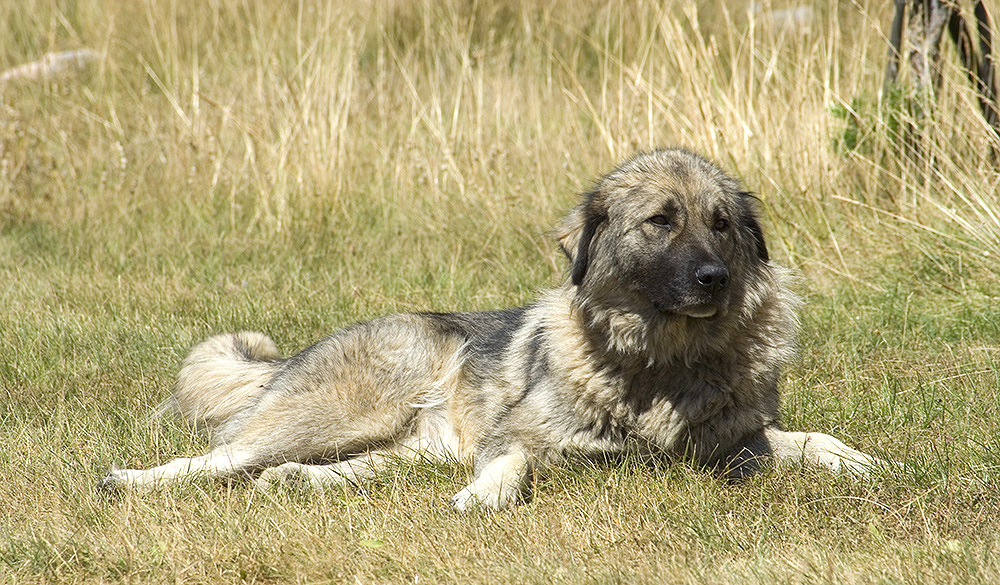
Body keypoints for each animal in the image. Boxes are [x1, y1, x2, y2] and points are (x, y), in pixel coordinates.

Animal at [97, 148, 888, 508]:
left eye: (722, 224)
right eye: (662, 220)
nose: (714, 278)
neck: (661, 361)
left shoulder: (737, 441)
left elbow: (803, 440)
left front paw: (857, 460)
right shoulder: (520, 434)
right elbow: (514, 460)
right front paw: (488, 497)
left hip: (402, 451)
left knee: (324, 469)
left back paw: (293, 482)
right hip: (346, 405)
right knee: (220, 457)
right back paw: (131, 481)